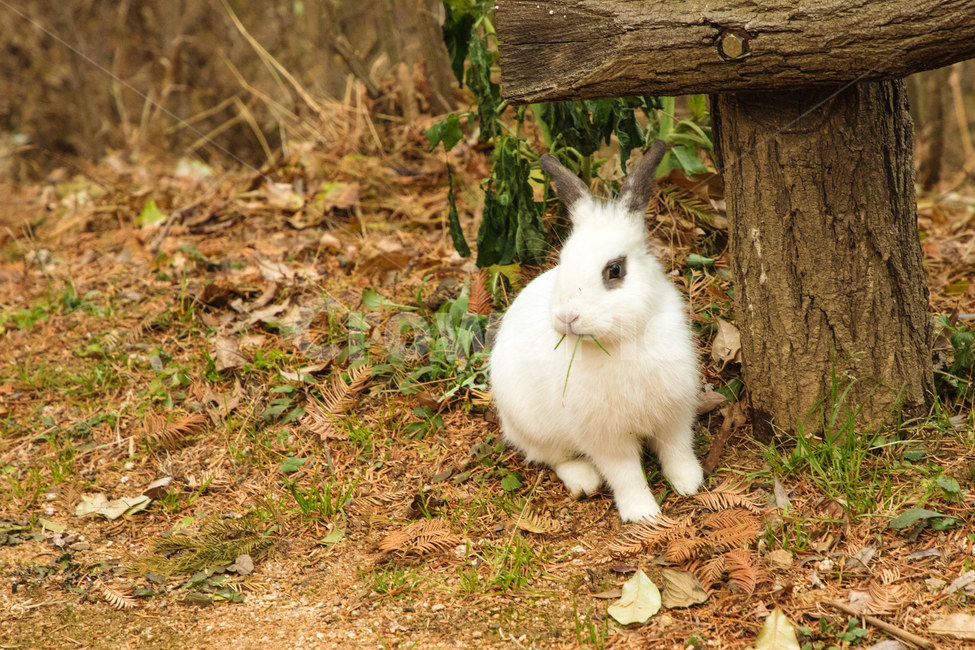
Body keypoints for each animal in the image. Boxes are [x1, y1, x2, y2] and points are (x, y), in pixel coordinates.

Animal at [489, 140, 704, 523]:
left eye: (614, 269)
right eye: (563, 262)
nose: (567, 316)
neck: (622, 342)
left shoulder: (674, 414)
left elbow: (677, 450)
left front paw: (689, 483)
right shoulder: (605, 438)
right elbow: (626, 474)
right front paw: (643, 515)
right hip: (533, 424)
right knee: (551, 457)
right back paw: (584, 479)